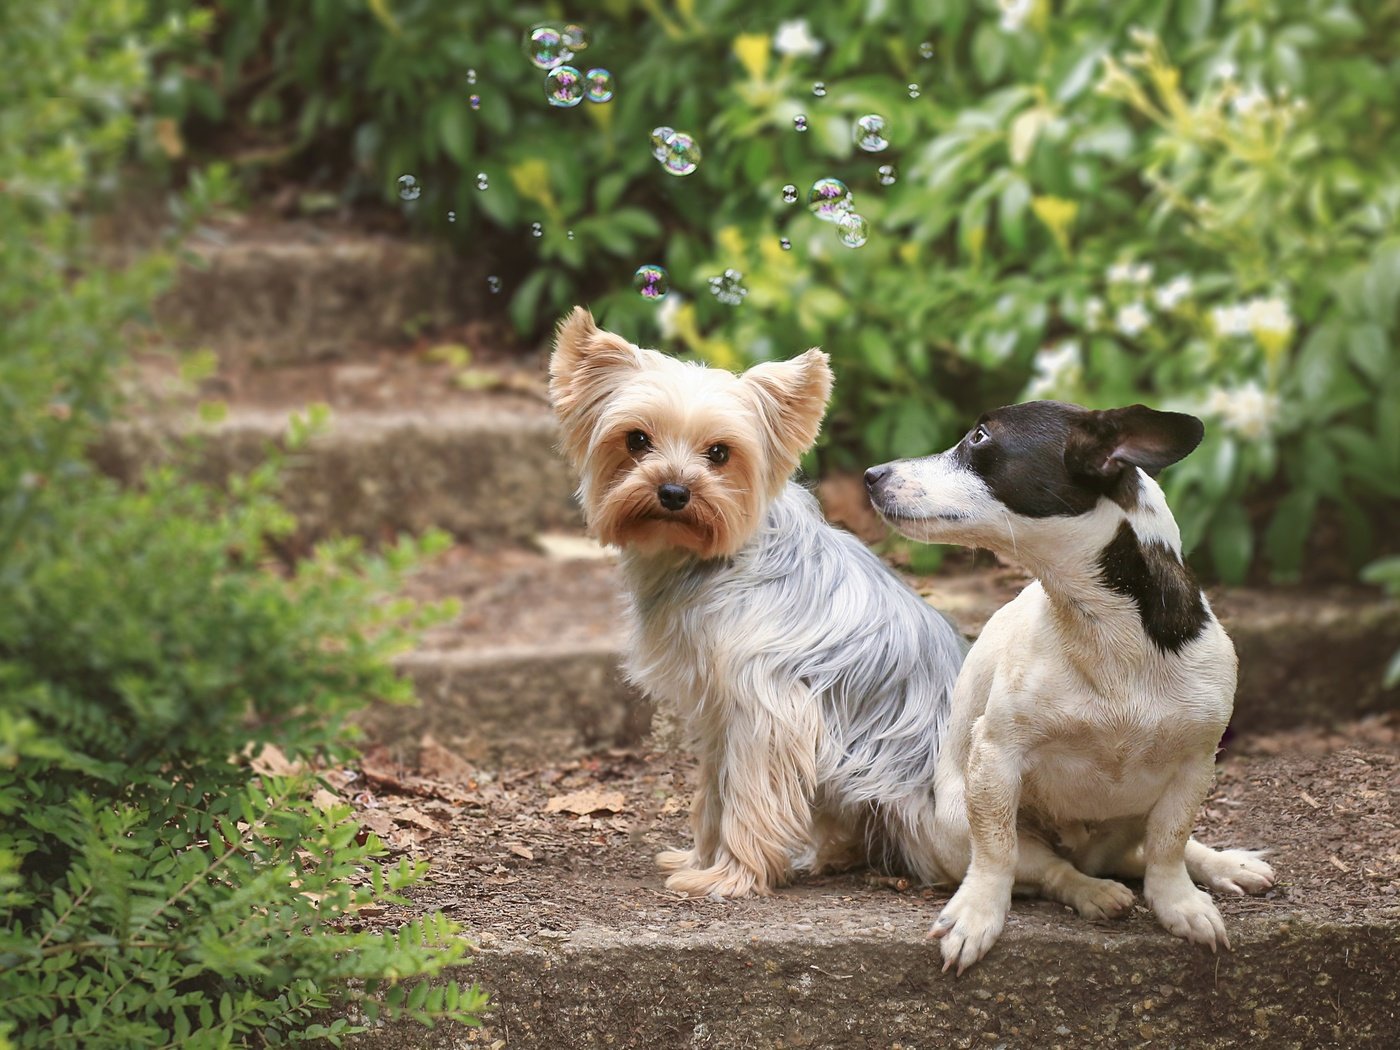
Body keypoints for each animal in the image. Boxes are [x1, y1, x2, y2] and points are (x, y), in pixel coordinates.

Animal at [546, 308, 963, 901]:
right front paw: (700, 859)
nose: (673, 492)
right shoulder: (721, 710)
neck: (716, 558)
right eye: (636, 440)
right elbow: (713, 793)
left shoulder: (768, 709)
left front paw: (729, 876)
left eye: (720, 453)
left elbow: (748, 796)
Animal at [862, 397, 1282, 974]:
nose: (870, 475)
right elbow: (997, 852)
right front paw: (976, 915)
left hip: (1130, 821)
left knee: (1145, 852)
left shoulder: (1195, 766)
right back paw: (1094, 892)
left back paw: (1223, 865)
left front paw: (1180, 904)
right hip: (955, 824)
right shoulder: (996, 758)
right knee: (1048, 870)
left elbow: (1171, 844)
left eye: (979, 437)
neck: (1104, 628)